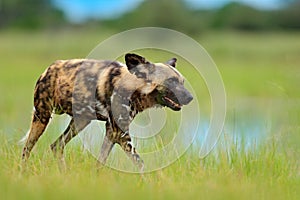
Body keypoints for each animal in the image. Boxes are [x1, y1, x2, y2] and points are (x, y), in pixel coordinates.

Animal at [21, 53, 195, 170]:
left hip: (79, 123)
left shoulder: (112, 132)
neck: (133, 88)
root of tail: (50, 67)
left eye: (182, 82)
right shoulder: (121, 135)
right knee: (26, 150)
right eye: (171, 81)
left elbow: (100, 162)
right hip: (42, 118)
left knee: (56, 146)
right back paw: (23, 173)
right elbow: (140, 164)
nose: (190, 97)